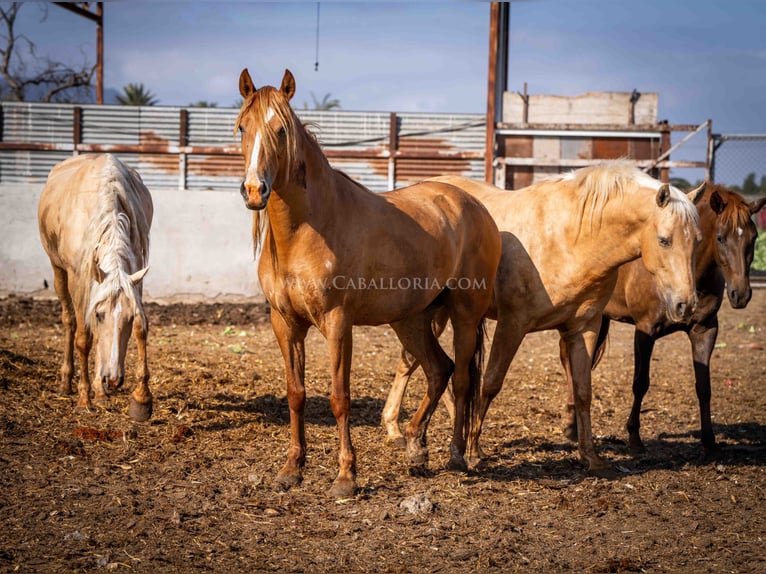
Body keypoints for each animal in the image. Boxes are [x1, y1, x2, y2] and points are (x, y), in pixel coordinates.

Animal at [37, 153, 154, 424]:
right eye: (100, 315)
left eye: (128, 318)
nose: (114, 379)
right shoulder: (78, 278)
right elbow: (83, 338)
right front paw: (83, 400)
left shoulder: (135, 274)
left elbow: (141, 328)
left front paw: (141, 400)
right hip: (58, 271)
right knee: (69, 321)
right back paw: (67, 382)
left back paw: (101, 392)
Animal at [237, 68, 504, 500]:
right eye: (243, 127)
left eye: (280, 130)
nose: (254, 190)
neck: (308, 230)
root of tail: (474, 206)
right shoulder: (285, 323)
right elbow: (296, 394)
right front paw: (292, 469)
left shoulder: (337, 324)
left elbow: (339, 398)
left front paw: (346, 476)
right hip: (410, 319)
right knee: (438, 370)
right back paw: (415, 448)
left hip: (464, 315)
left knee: (462, 380)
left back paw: (455, 455)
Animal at [380, 166, 704, 476]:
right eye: (664, 240)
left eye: (698, 242)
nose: (686, 304)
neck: (572, 239)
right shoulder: (513, 325)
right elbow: (490, 384)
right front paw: (471, 451)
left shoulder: (583, 329)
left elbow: (583, 391)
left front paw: (591, 458)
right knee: (416, 362)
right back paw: (402, 429)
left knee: (417, 362)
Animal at [560, 184, 766, 454]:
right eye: (721, 238)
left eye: (753, 238)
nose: (740, 294)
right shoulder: (645, 331)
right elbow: (640, 383)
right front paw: (635, 438)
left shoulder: (705, 331)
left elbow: (704, 386)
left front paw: (709, 441)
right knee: (569, 363)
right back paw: (571, 427)